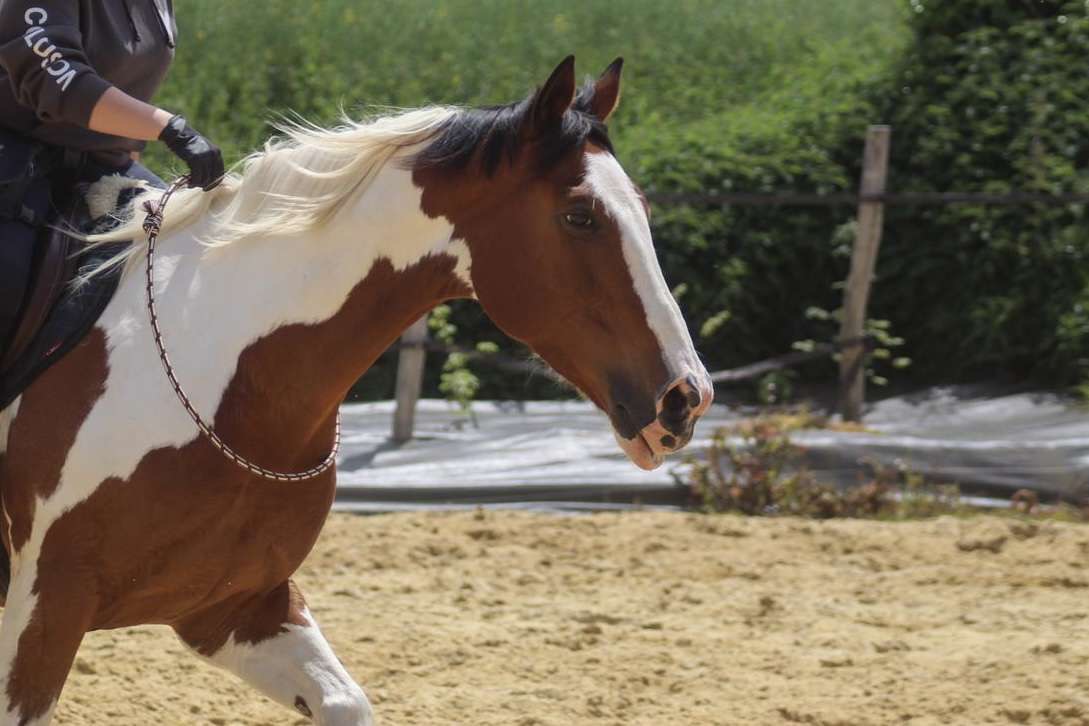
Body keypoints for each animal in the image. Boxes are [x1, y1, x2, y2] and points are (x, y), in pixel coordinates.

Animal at [0, 56, 712, 725]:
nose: (686, 398)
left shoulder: (235, 607)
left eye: (642, 208)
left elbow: (345, 701)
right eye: (580, 216)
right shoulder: (44, 613)